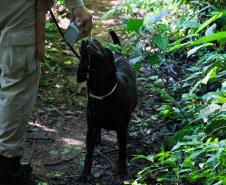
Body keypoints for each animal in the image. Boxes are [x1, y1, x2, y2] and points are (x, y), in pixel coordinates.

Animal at [77, 31, 138, 181]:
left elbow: (122, 152)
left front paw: (122, 170)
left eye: (97, 43)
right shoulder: (91, 126)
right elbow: (88, 155)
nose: (84, 40)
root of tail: (119, 56)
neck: (102, 94)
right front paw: (85, 174)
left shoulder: (121, 128)